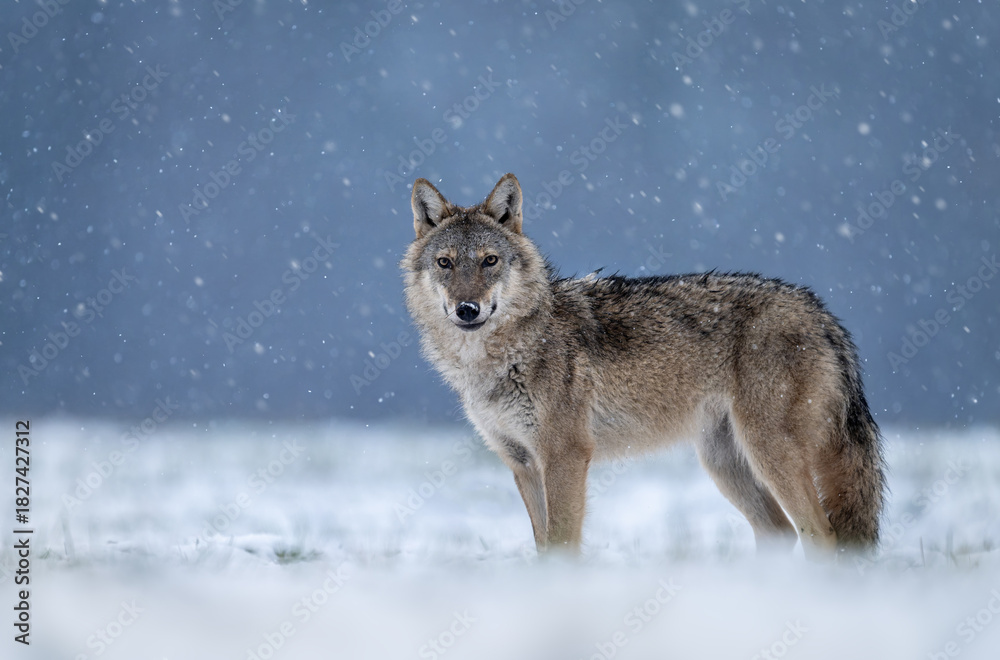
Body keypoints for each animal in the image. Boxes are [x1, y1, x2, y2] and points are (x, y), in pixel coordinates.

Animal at [401, 173, 885, 559]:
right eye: (445, 263)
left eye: (490, 261)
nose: (467, 309)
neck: (503, 355)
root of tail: (820, 311)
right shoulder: (521, 462)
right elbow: (542, 547)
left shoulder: (565, 456)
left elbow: (561, 546)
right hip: (726, 465)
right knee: (782, 534)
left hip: (769, 453)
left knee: (822, 536)